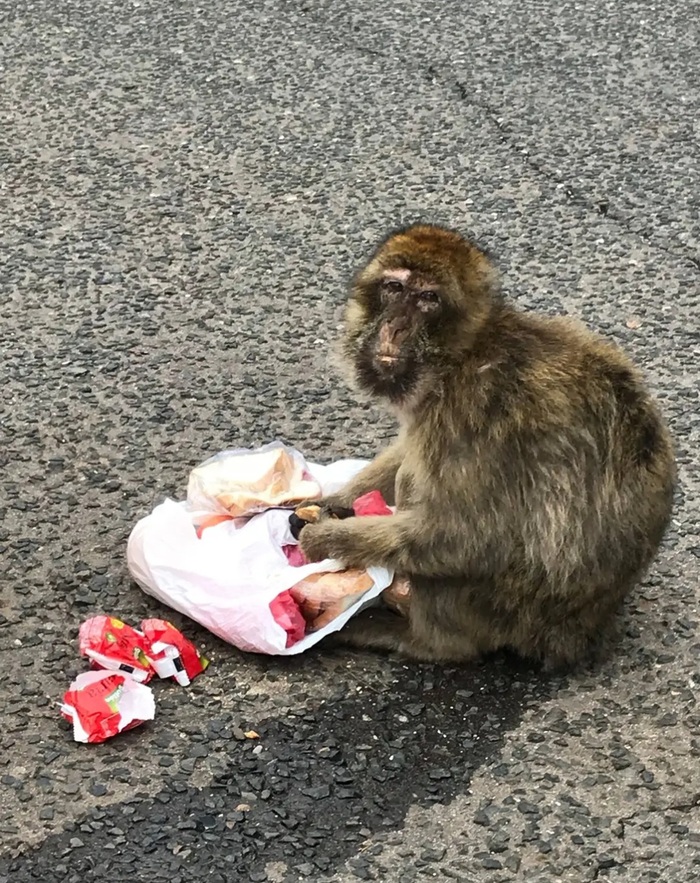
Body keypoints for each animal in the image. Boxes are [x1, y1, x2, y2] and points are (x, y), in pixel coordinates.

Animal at [295, 223, 676, 669]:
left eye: (428, 300)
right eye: (393, 288)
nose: (395, 327)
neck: (461, 356)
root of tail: (576, 634)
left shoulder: (469, 412)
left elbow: (469, 538)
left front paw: (326, 539)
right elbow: (408, 449)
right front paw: (332, 501)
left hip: (501, 608)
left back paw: (425, 641)